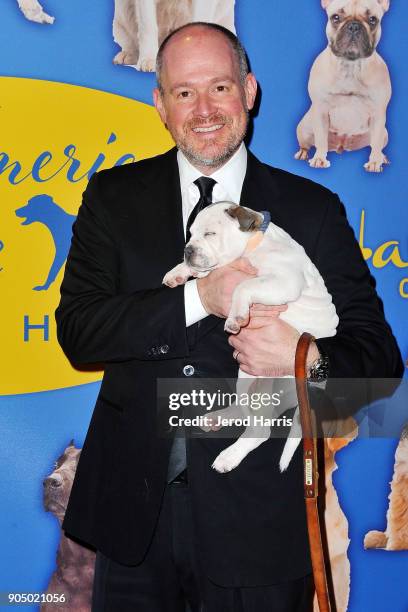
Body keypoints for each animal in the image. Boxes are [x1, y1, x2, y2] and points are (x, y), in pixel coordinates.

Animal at [163, 203, 338, 476]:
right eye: (190, 235)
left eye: (210, 234)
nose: (187, 249)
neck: (254, 243)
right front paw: (177, 272)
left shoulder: (281, 282)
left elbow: (243, 287)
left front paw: (235, 316)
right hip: (248, 380)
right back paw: (218, 418)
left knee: (261, 430)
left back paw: (228, 457)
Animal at [296, 0, 392, 172]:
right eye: (335, 17)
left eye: (373, 20)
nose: (354, 26)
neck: (350, 66)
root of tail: (342, 145)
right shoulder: (320, 110)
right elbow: (321, 139)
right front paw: (319, 159)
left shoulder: (378, 114)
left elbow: (376, 143)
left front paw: (375, 162)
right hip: (304, 128)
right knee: (307, 143)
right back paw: (303, 152)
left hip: (385, 134)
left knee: (378, 144)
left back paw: (382, 157)